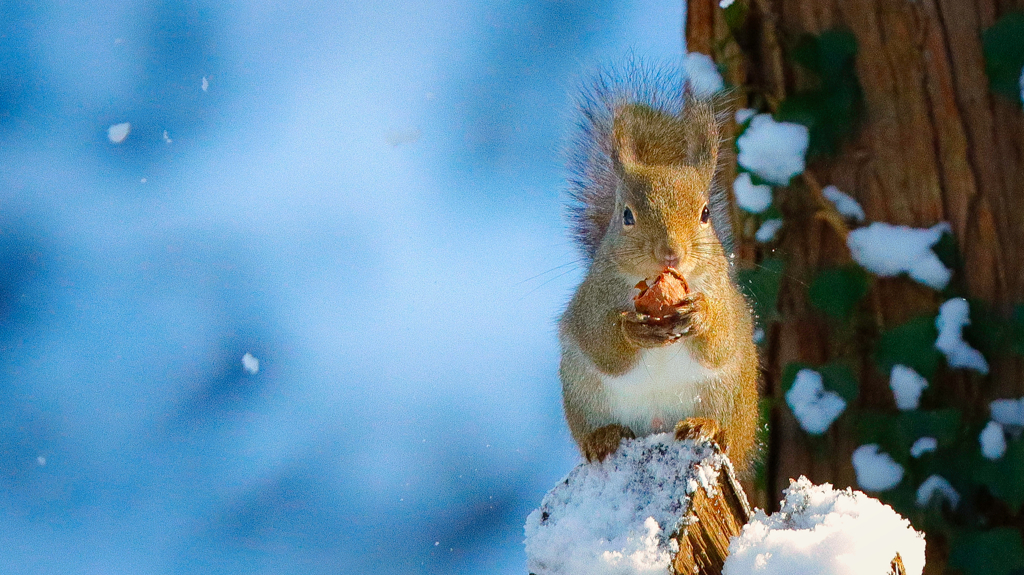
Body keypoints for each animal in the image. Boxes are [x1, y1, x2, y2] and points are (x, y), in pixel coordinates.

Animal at [561, 69, 761, 472]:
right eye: (626, 216)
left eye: (705, 213)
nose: (670, 254)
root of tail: (656, 427)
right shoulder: (590, 302)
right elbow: (602, 344)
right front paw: (632, 330)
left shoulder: (723, 294)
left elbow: (721, 338)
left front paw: (700, 314)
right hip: (582, 394)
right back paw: (603, 436)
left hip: (733, 397)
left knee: (729, 436)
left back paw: (707, 426)